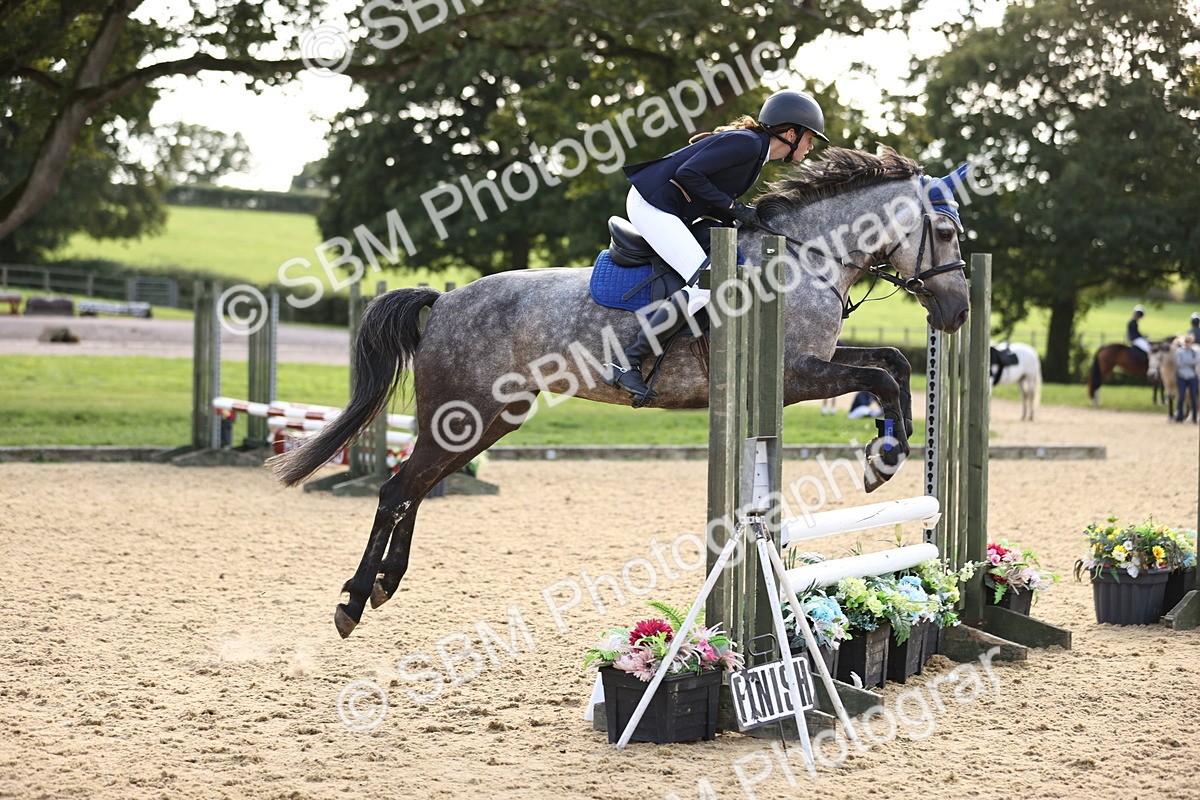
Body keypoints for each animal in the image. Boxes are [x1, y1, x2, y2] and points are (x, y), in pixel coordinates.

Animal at [268, 147, 972, 638]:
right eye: (944, 231)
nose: (958, 312)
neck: (804, 257)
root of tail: (443, 301)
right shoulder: (796, 373)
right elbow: (878, 375)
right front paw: (883, 460)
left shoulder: (812, 365)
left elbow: (890, 366)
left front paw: (888, 449)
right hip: (461, 416)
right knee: (396, 490)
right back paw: (353, 601)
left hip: (489, 421)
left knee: (414, 488)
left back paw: (384, 584)